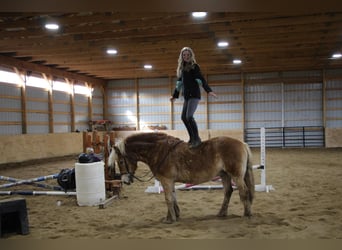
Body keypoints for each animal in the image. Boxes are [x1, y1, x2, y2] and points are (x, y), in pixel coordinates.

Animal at [108, 132, 255, 224]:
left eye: (120, 161)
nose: (125, 181)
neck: (158, 150)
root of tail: (242, 143)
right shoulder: (170, 181)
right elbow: (173, 198)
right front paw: (176, 215)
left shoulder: (166, 180)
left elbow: (168, 199)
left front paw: (169, 219)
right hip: (224, 175)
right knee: (228, 191)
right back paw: (222, 213)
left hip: (236, 176)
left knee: (244, 192)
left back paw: (247, 214)